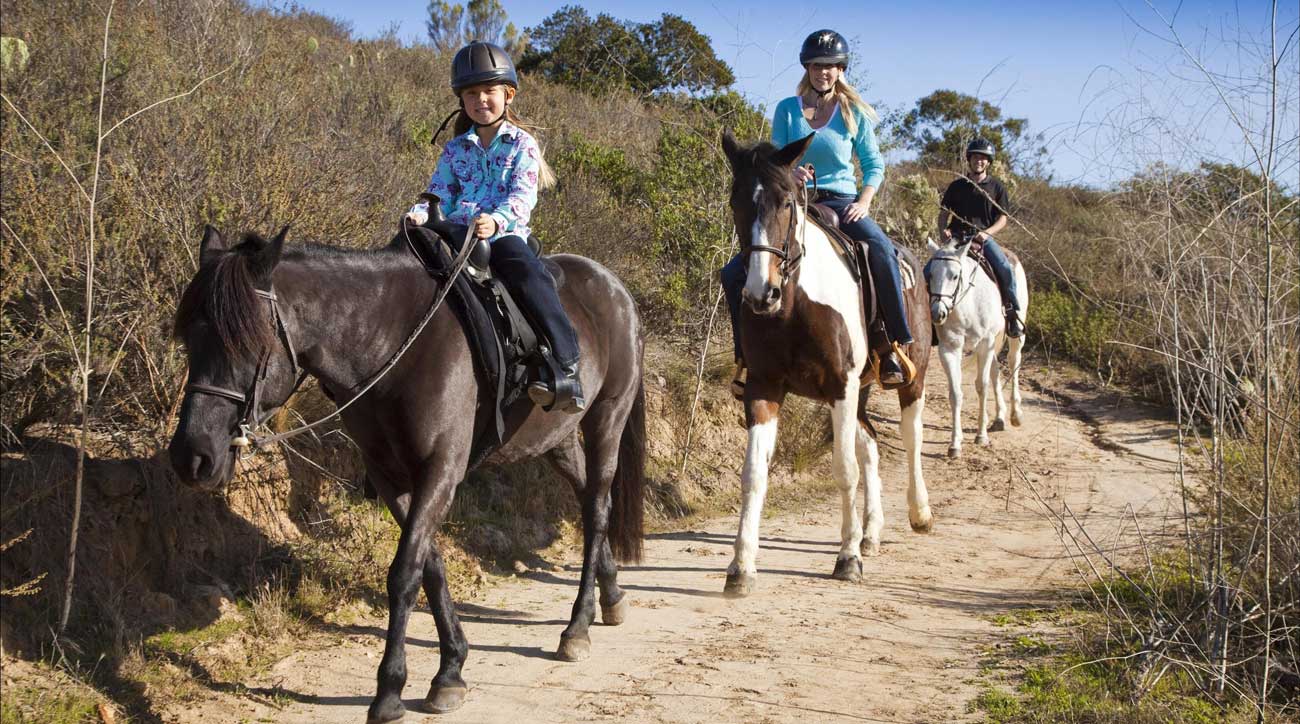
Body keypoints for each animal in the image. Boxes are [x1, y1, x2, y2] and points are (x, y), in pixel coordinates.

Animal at [167, 224, 644, 717]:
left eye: (248, 341)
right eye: (189, 338)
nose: (192, 456)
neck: (392, 341)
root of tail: (613, 285)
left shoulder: (439, 471)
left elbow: (404, 573)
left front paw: (390, 689)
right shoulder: (389, 476)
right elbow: (429, 565)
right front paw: (451, 668)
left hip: (606, 417)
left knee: (597, 508)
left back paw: (578, 627)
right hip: (557, 439)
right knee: (588, 499)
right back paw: (611, 596)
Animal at [722, 132, 935, 595]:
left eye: (787, 202)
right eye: (735, 201)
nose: (760, 293)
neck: (793, 304)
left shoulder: (841, 384)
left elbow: (844, 469)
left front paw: (847, 558)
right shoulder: (764, 387)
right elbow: (753, 475)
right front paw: (741, 567)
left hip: (910, 379)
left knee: (910, 438)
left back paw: (919, 512)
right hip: (861, 390)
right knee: (870, 443)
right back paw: (871, 531)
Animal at [920, 236, 1029, 457]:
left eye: (955, 276)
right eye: (931, 274)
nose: (937, 313)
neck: (968, 305)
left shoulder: (985, 344)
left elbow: (982, 386)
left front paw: (981, 436)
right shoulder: (950, 348)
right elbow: (955, 393)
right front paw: (955, 444)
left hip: (1012, 337)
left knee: (1014, 362)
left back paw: (1016, 414)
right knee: (996, 370)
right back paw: (999, 418)